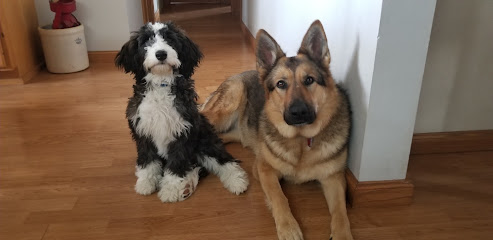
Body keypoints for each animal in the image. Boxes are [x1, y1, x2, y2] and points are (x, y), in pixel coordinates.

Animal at [114, 22, 248, 202]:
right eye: (147, 40)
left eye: (170, 39)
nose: (161, 54)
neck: (161, 85)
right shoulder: (143, 132)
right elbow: (148, 161)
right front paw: (146, 183)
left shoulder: (182, 134)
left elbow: (176, 165)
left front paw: (170, 190)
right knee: (194, 166)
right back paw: (187, 186)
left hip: (205, 140)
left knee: (224, 161)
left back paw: (237, 181)